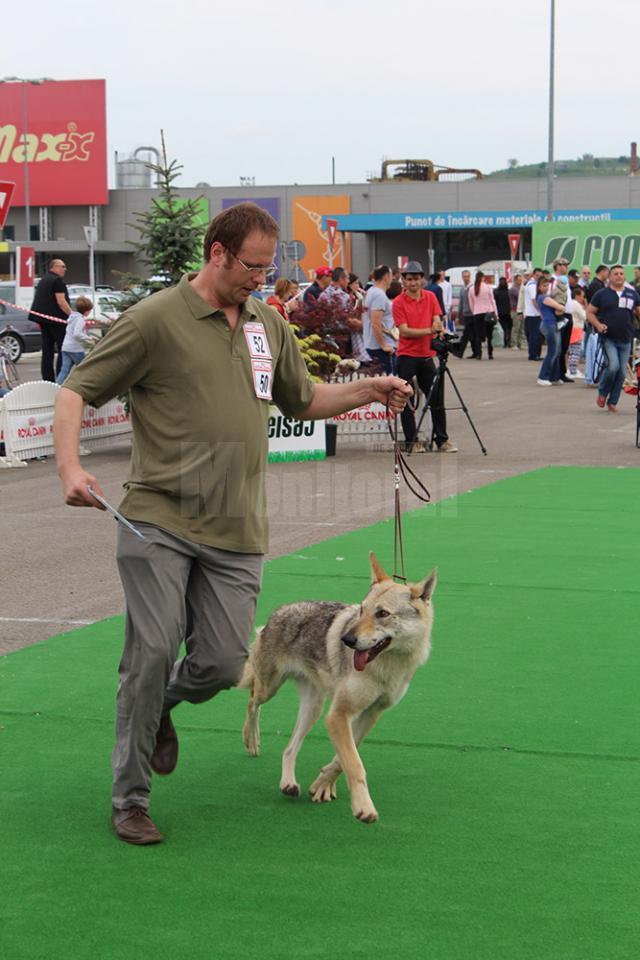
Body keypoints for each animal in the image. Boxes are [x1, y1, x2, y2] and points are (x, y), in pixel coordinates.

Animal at [240, 556, 436, 824]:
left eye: (382, 614)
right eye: (362, 610)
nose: (347, 640)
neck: (388, 666)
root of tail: (279, 611)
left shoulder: (369, 714)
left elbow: (343, 758)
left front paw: (322, 785)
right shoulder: (338, 715)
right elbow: (354, 764)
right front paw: (363, 807)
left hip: (313, 710)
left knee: (289, 748)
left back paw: (288, 783)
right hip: (270, 688)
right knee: (252, 701)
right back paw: (251, 740)